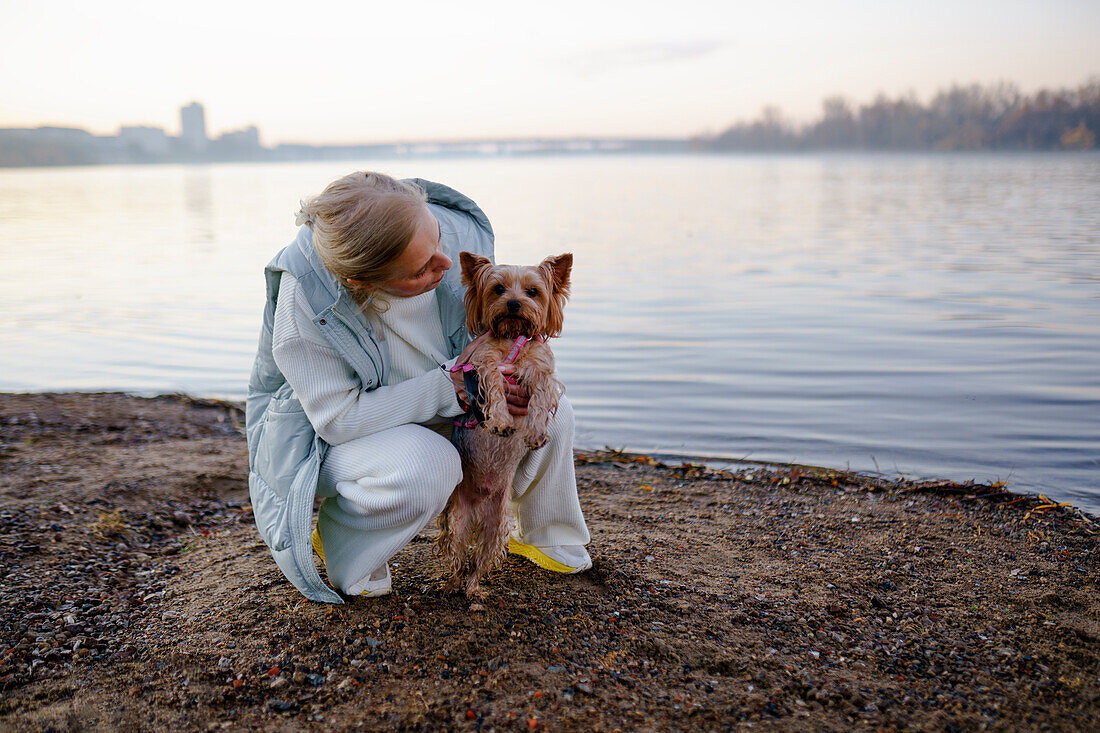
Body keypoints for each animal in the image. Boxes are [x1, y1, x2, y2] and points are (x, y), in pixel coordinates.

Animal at [433, 248, 572, 598]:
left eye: (533, 292)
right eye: (498, 289)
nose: (513, 304)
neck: (511, 337)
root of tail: (479, 505)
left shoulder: (541, 371)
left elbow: (539, 399)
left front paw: (536, 432)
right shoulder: (483, 363)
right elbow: (495, 385)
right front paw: (499, 420)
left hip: (499, 526)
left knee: (479, 562)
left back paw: (475, 591)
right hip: (456, 519)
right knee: (457, 558)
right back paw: (451, 586)